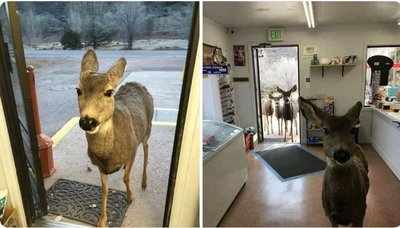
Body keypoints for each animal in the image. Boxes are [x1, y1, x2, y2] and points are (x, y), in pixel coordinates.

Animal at [77, 49, 155, 226]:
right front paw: (102, 221)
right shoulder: (100, 166)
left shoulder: (132, 150)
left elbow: (126, 178)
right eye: (78, 90)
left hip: (147, 129)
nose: (87, 121)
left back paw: (144, 182)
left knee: (146, 148)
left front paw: (130, 197)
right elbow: (104, 190)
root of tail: (137, 83)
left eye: (109, 92)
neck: (108, 154)